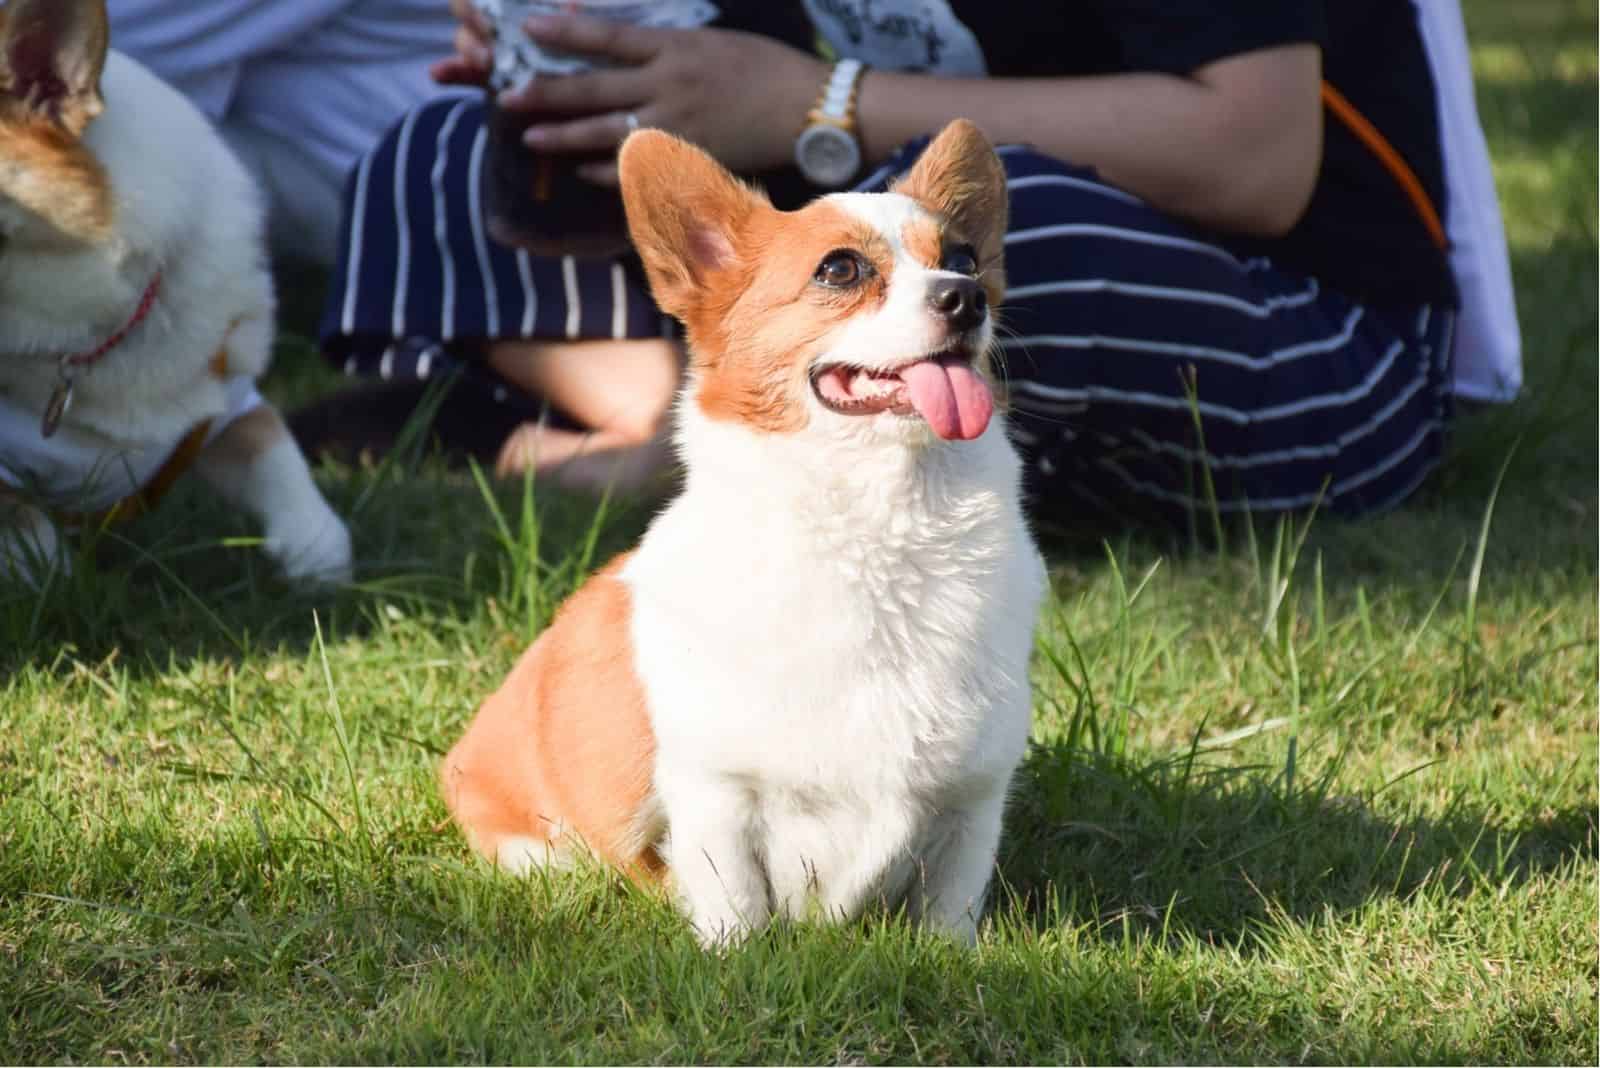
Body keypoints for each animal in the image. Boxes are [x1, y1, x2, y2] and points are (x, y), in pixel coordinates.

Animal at [444, 120, 1049, 946]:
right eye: (840, 269)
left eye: (962, 259)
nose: (968, 298)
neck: (882, 525)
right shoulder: (716, 791)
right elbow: (735, 900)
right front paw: (735, 956)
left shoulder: (972, 798)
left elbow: (950, 905)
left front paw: (952, 958)